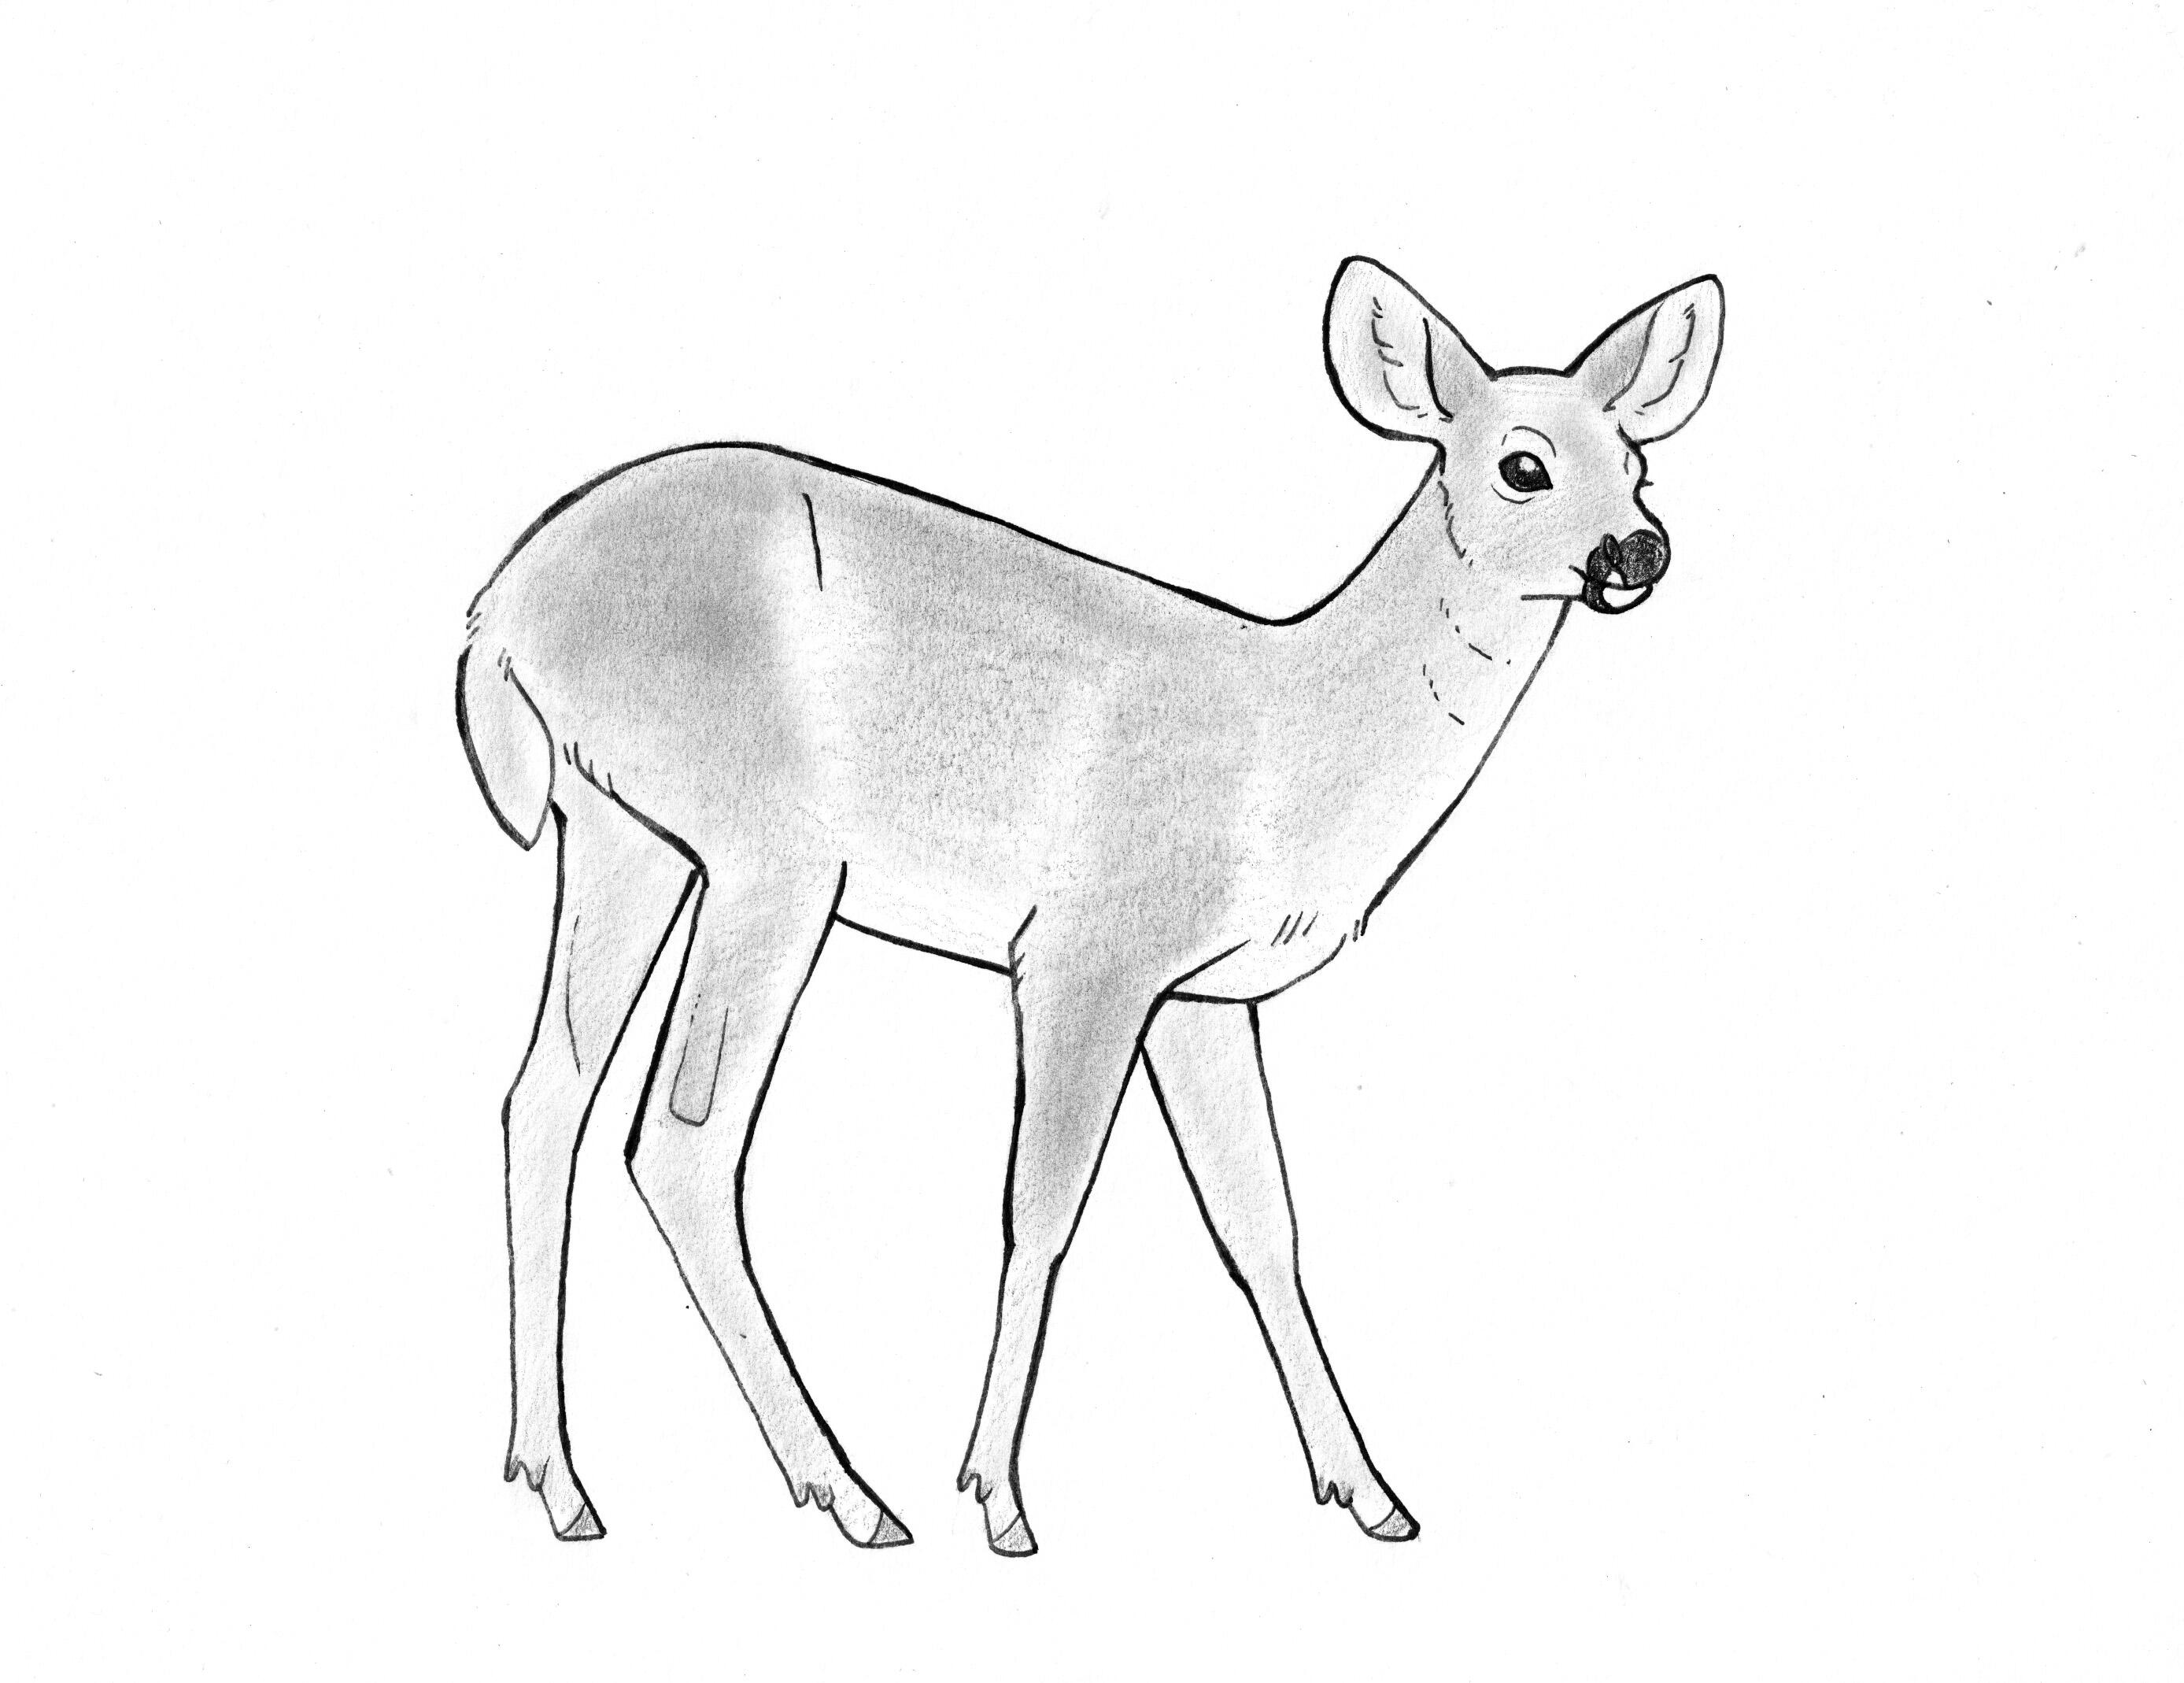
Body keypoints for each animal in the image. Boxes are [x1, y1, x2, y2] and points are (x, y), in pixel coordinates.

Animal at [456, 257, 1724, 1554]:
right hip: (770, 848)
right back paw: (848, 1493)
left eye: (1638, 458)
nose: (1640, 548)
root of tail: (498, 614)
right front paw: (995, 1495)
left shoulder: (1202, 995)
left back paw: (558, 1480)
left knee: (543, 1096)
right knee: (681, 1140)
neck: (1288, 741)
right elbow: (1042, 1207)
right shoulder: (1088, 949)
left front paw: (1369, 1492)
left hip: (624, 831)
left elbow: (1261, 1224)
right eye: (1523, 463)